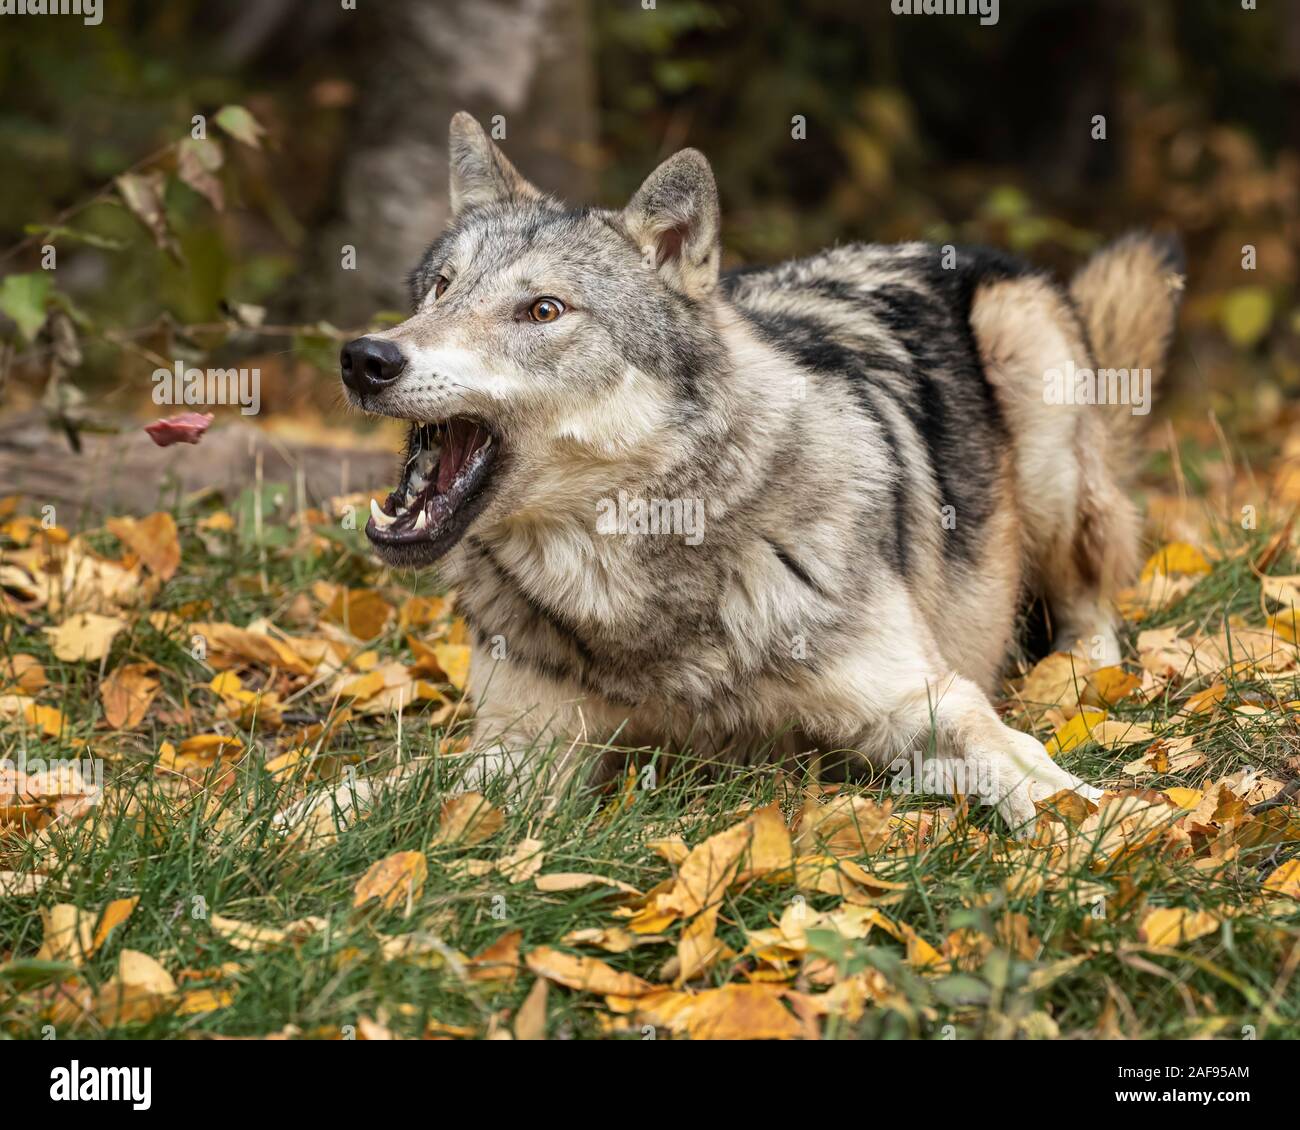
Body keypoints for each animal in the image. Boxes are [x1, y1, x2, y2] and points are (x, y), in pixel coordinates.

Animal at [332, 114, 1180, 832]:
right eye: (442, 287)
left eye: (543, 310)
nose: (365, 358)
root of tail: (950, 246)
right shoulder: (522, 752)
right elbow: (374, 794)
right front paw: (299, 830)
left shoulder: (926, 700)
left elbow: (1030, 768)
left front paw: (1105, 831)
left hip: (1040, 412)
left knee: (1092, 596)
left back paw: (1083, 676)